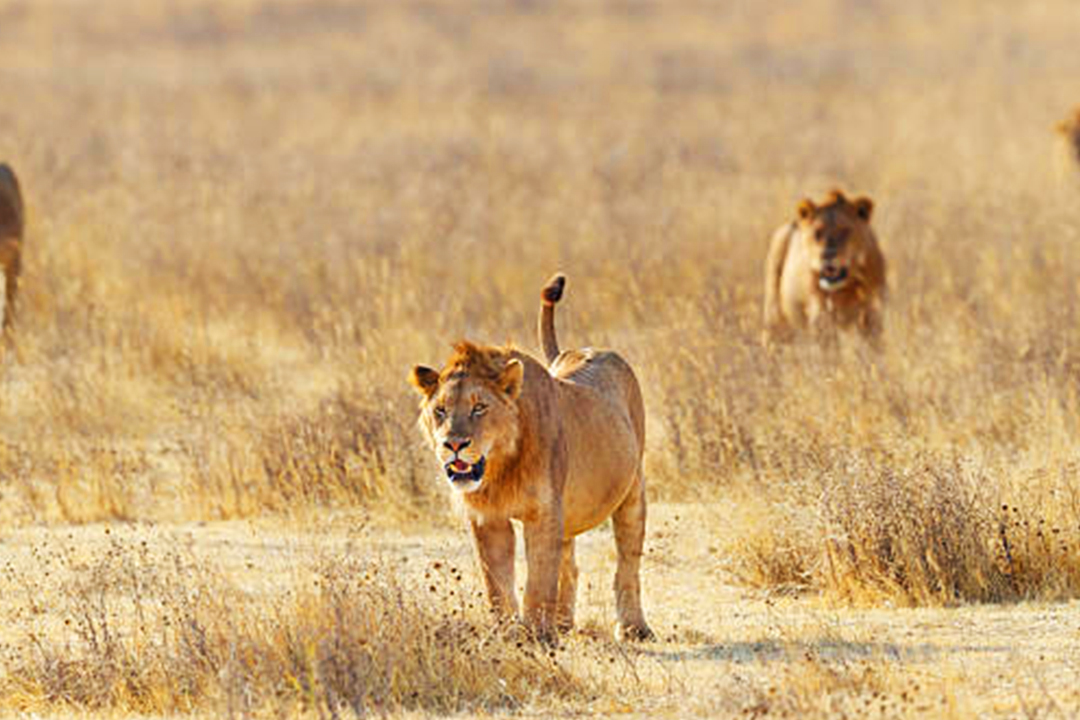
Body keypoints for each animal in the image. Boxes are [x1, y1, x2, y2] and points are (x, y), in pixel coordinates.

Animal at [408, 273, 652, 643]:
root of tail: (575, 350)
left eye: (480, 407)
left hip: (632, 490)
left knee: (628, 563)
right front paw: (506, 634)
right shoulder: (487, 519)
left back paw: (634, 627)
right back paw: (563, 623)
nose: (454, 444)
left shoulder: (544, 512)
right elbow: (496, 584)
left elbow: (538, 580)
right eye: (440, 410)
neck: (500, 469)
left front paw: (537, 636)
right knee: (570, 563)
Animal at [760, 188, 885, 349]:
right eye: (817, 233)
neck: (846, 287)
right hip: (774, 316)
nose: (827, 255)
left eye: (845, 231)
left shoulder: (873, 310)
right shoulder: (821, 314)